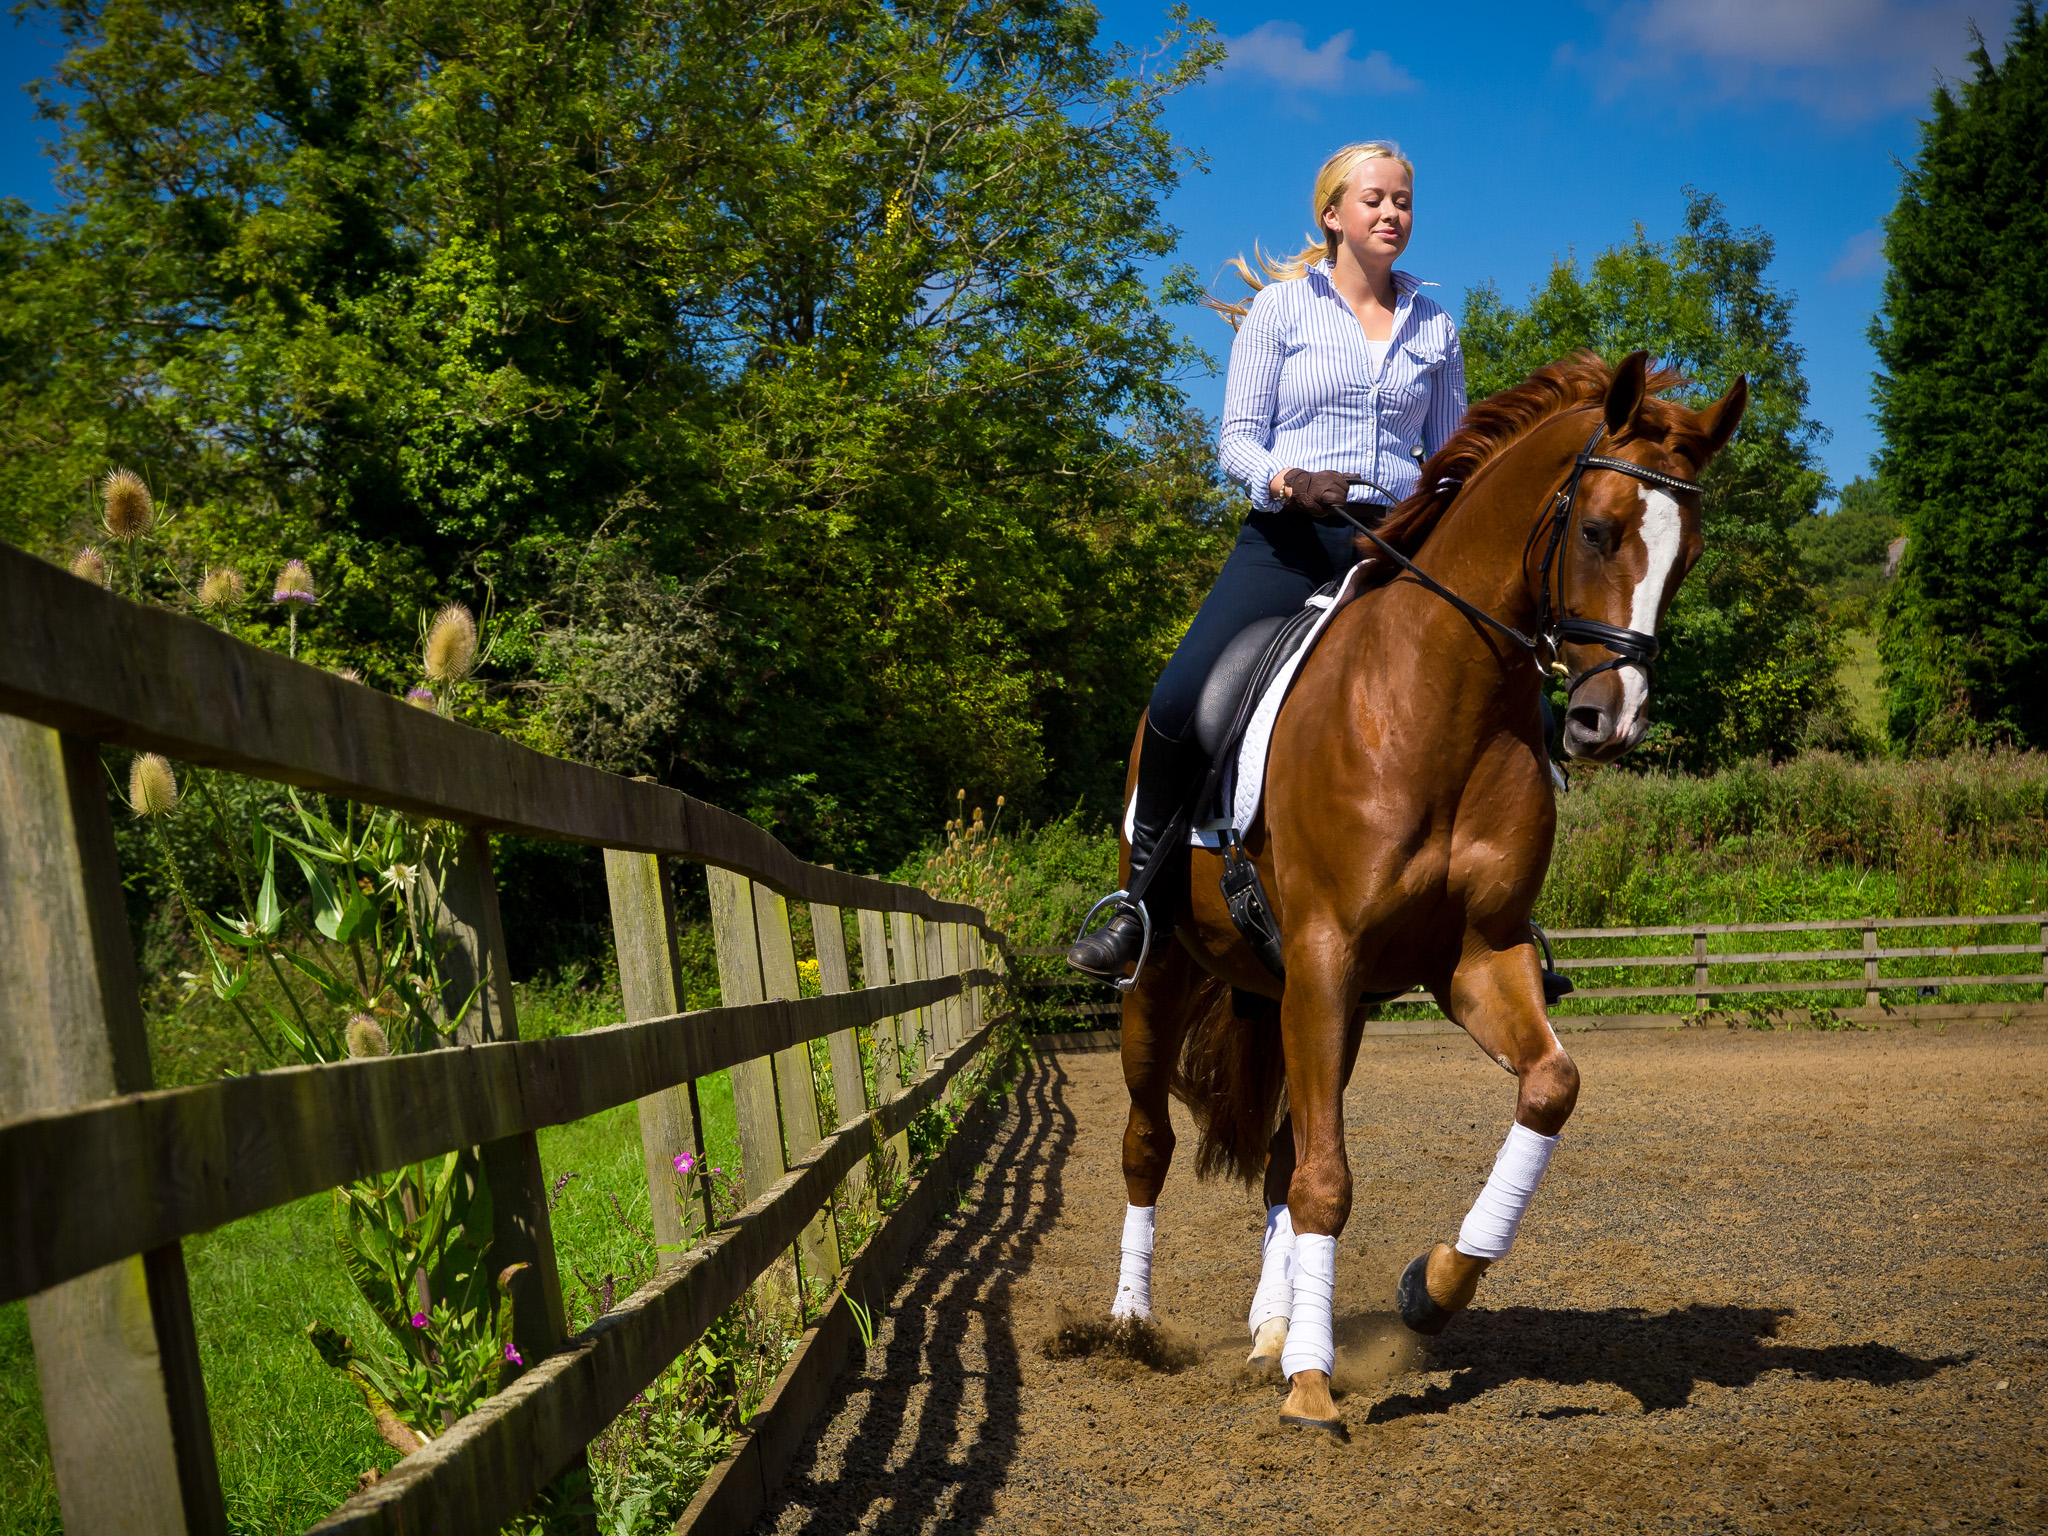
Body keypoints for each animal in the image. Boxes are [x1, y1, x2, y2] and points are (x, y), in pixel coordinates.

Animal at [1105, 352, 1744, 1433]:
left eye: (1687, 557)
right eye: (1596, 530)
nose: (1607, 722)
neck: (1438, 704)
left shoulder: (1472, 959)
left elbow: (1549, 1087)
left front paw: (1429, 1290)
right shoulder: (1326, 953)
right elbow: (1325, 1180)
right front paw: (1314, 1387)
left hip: (1318, 1003)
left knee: (1277, 1156)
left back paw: (1272, 1331)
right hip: (1164, 979)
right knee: (1147, 1141)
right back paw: (1127, 1328)